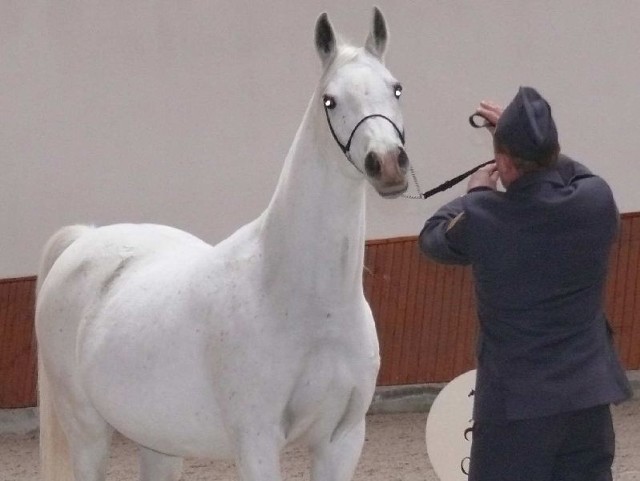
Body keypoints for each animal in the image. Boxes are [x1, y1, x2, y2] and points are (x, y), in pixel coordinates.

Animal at [35, 8, 408, 480]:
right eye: (330, 100)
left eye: (396, 88)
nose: (388, 163)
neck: (303, 301)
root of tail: (84, 238)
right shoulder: (256, 442)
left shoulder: (342, 441)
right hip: (88, 433)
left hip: (159, 441)